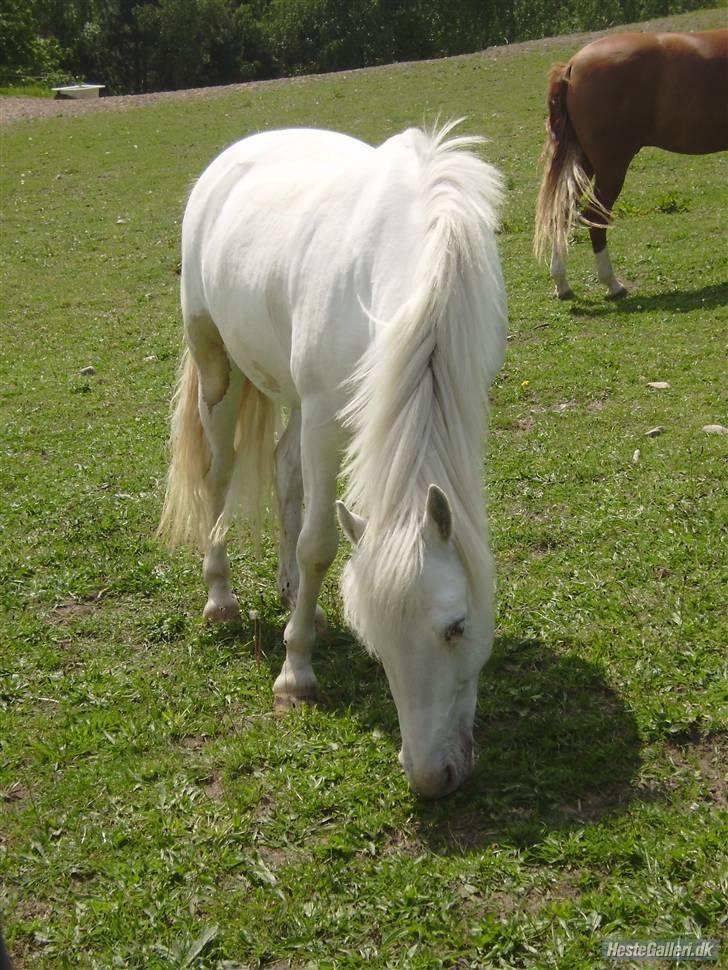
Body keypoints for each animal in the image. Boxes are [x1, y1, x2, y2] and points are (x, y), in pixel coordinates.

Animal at [161, 121, 506, 796]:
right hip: (220, 368)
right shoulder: (325, 417)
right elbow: (320, 543)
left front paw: (303, 616)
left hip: (295, 397)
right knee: (218, 475)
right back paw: (221, 598)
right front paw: (295, 675)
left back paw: (292, 592)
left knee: (284, 473)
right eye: (378, 645)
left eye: (456, 627)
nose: (431, 777)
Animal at [536, 29, 728, 298]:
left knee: (563, 211)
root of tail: (571, 67)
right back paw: (612, 284)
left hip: (584, 163)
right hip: (611, 167)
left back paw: (562, 284)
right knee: (595, 217)